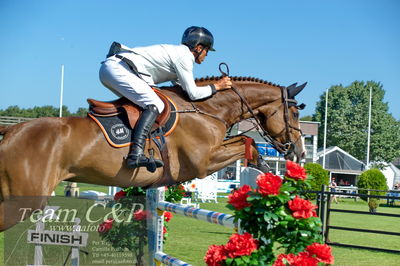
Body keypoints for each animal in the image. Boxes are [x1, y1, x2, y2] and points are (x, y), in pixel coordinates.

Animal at [0, 76, 306, 231]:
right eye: (294, 113)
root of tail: (11, 131)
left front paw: (276, 180)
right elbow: (248, 142)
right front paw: (274, 178)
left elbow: (248, 143)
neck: (206, 109)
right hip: (23, 200)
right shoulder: (203, 162)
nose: (300, 153)